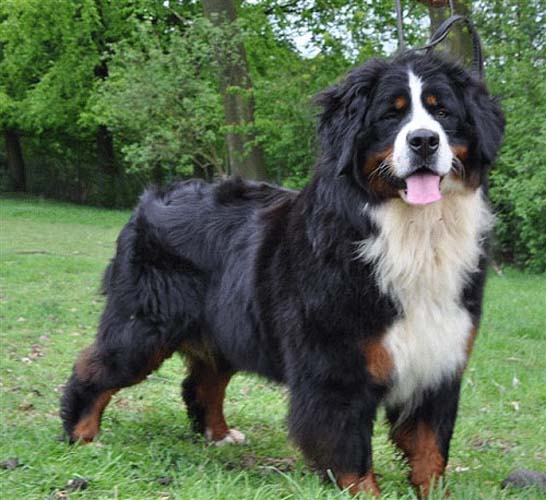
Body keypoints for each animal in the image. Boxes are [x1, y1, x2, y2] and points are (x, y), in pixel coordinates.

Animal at [61, 51, 504, 497]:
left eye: (442, 111)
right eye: (390, 116)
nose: (424, 141)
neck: (416, 233)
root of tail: (151, 198)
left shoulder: (438, 361)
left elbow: (430, 449)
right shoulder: (336, 369)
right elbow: (349, 452)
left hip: (224, 328)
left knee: (203, 382)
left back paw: (219, 435)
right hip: (143, 326)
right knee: (94, 368)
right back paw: (81, 435)